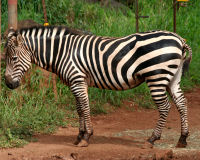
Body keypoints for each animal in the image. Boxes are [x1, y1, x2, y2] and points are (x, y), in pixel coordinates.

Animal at [5, 26, 192, 148]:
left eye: (13, 59)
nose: (8, 84)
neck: (62, 52)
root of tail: (179, 39)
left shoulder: (77, 80)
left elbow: (85, 107)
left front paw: (86, 137)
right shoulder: (76, 82)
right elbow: (79, 109)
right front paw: (79, 136)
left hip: (157, 76)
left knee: (165, 106)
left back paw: (152, 139)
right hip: (172, 77)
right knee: (182, 103)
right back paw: (182, 139)